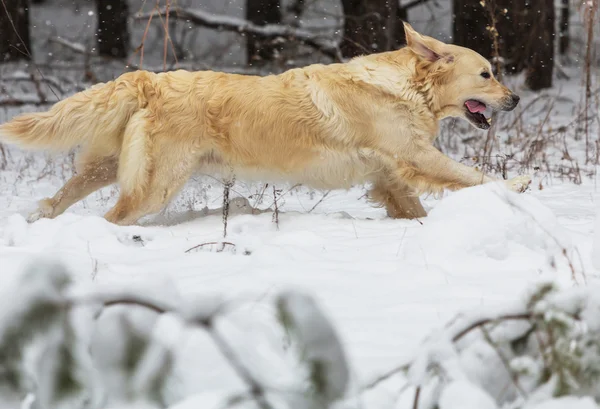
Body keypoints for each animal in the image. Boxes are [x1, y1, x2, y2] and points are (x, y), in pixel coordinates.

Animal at [0, 22, 528, 225]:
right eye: (487, 73)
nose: (517, 98)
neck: (408, 87)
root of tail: (149, 79)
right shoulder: (412, 154)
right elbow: (468, 173)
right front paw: (517, 186)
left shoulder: (389, 175)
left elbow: (414, 205)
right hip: (157, 183)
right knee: (114, 216)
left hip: (111, 165)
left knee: (58, 198)